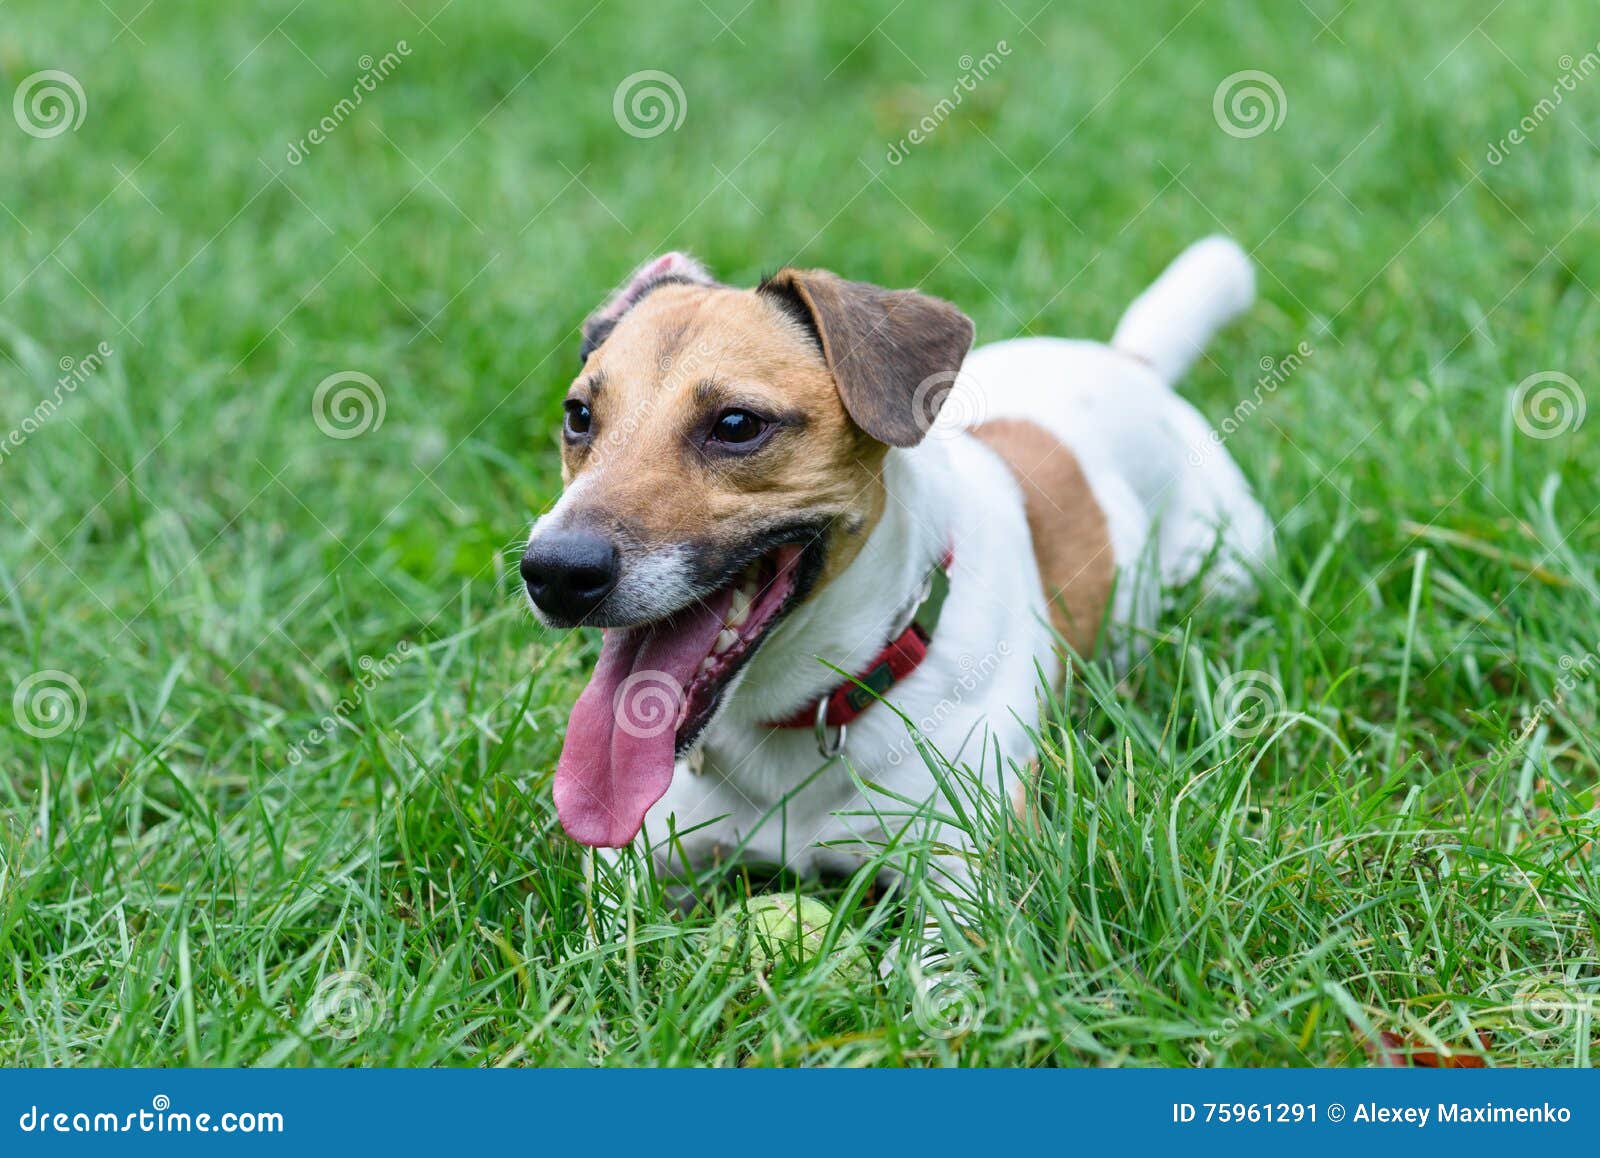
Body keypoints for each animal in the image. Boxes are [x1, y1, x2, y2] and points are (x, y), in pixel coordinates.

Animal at [524, 236, 1273, 902]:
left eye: (736, 425)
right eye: (578, 415)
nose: (554, 571)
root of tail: (1130, 362)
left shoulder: (971, 871)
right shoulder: (632, 861)